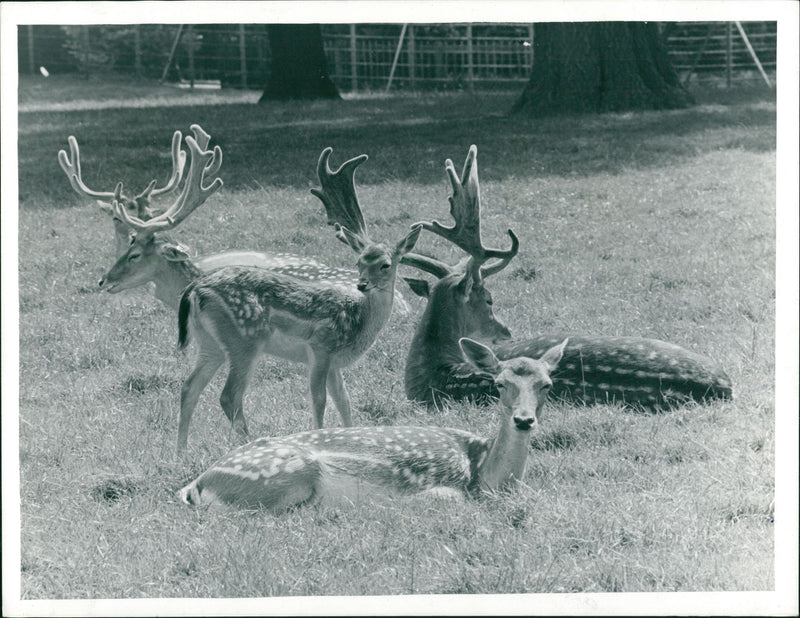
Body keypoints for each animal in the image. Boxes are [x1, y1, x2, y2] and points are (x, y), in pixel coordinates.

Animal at [174, 147, 422, 450]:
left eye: (385, 265)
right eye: (359, 262)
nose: (362, 284)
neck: (359, 322)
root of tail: (194, 290)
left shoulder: (334, 363)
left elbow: (345, 401)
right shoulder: (321, 346)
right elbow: (320, 400)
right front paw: (318, 438)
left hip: (210, 343)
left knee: (189, 387)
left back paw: (181, 451)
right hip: (245, 338)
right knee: (229, 395)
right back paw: (251, 442)